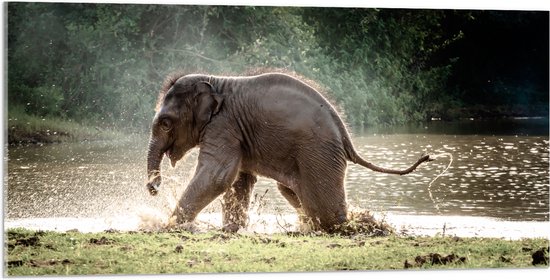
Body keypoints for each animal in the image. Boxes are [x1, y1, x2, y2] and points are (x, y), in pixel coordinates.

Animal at [147, 72, 432, 232]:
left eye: (166, 123)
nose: (154, 188)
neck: (215, 82)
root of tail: (346, 136)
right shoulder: (235, 131)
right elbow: (238, 179)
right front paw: (231, 230)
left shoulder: (223, 125)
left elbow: (217, 175)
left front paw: (166, 226)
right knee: (292, 191)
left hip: (318, 153)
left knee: (323, 208)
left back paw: (345, 227)